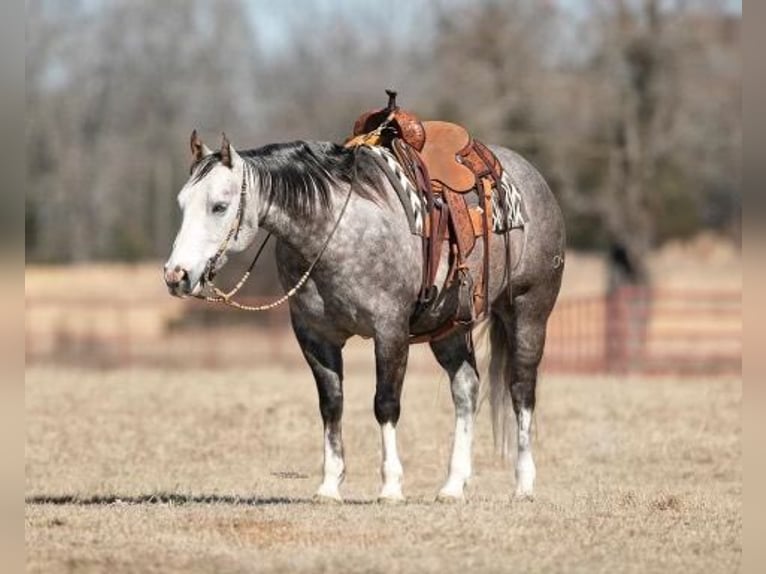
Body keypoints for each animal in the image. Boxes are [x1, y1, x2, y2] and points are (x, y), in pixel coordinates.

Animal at [165, 133, 568, 502]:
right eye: (182, 203)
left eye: (219, 206)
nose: (175, 275)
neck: (333, 230)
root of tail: (533, 179)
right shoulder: (314, 336)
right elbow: (332, 404)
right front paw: (329, 486)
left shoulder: (390, 330)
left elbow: (385, 403)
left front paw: (390, 486)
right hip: (449, 327)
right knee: (466, 389)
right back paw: (453, 486)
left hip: (529, 312)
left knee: (521, 391)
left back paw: (524, 484)